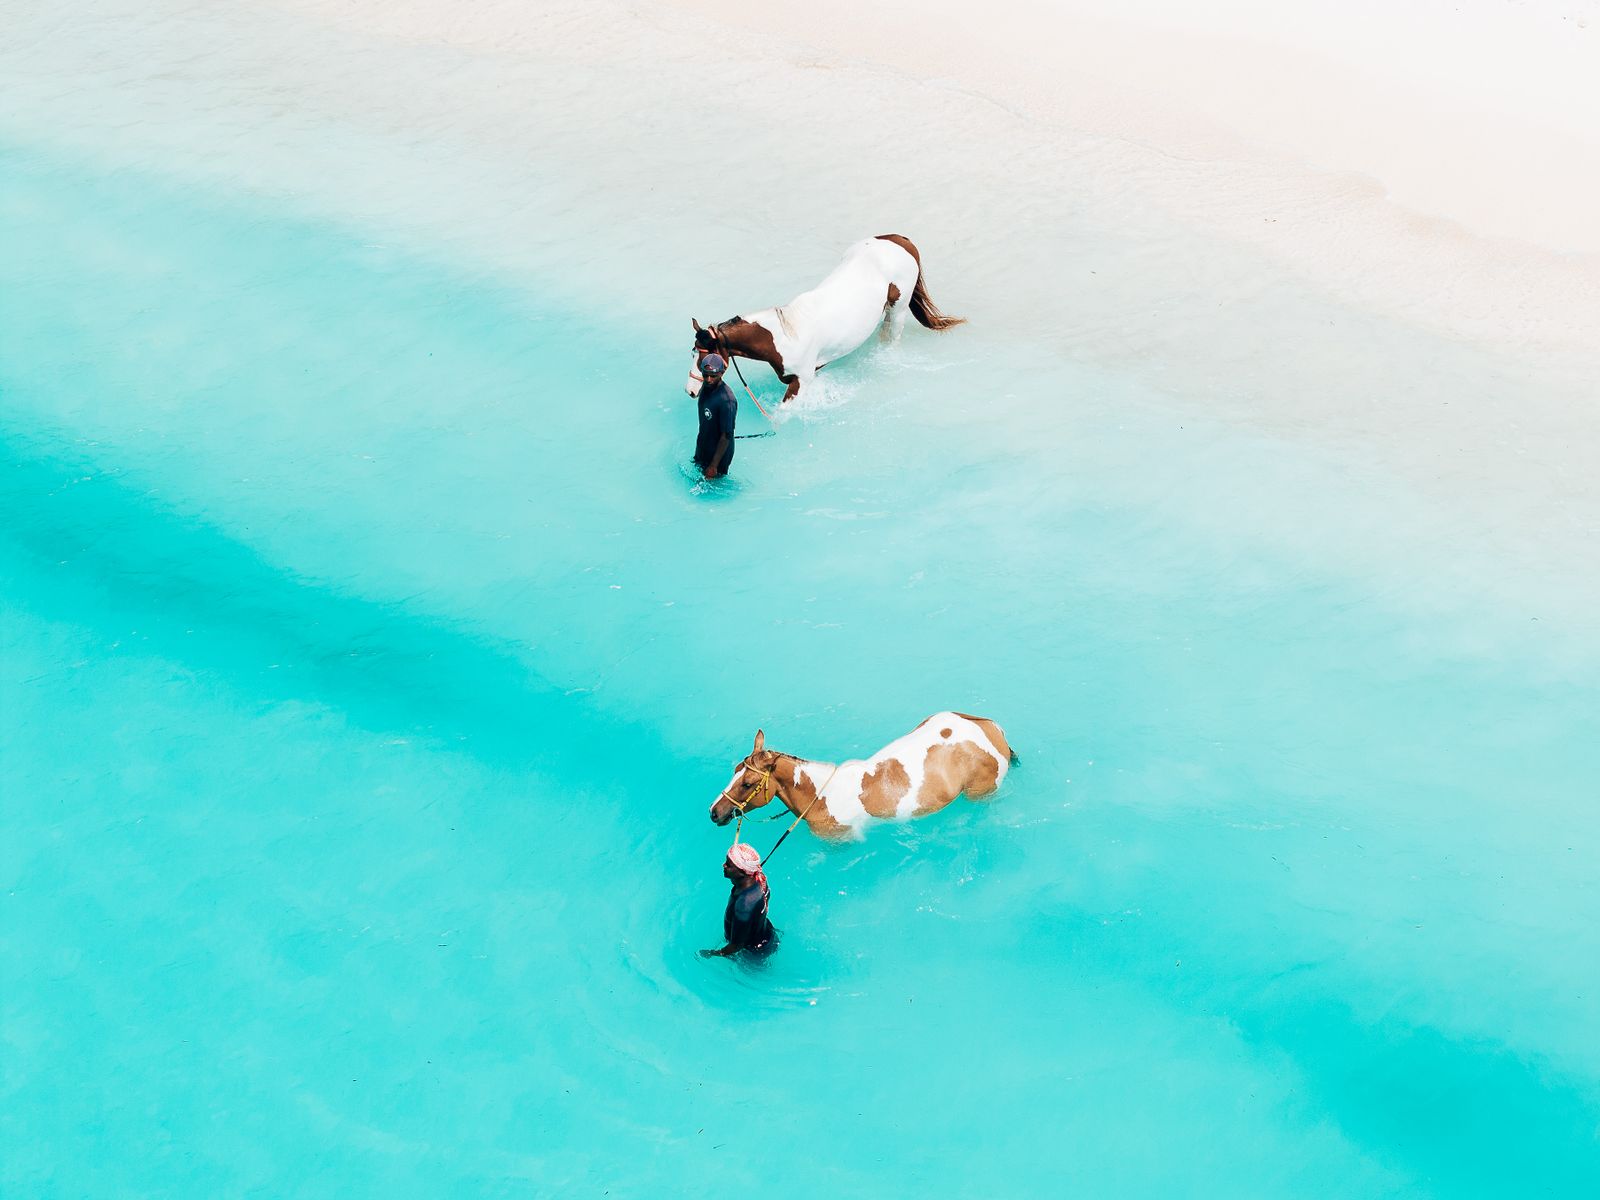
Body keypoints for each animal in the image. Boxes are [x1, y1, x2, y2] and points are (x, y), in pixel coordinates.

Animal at [686, 234, 964, 404]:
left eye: (705, 360)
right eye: (694, 353)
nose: (690, 391)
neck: (784, 337)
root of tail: (900, 240)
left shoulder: (801, 382)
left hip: (899, 310)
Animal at [708, 712, 1016, 842]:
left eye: (747, 783)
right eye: (734, 772)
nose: (714, 812)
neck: (820, 797)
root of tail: (991, 727)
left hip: (981, 792)